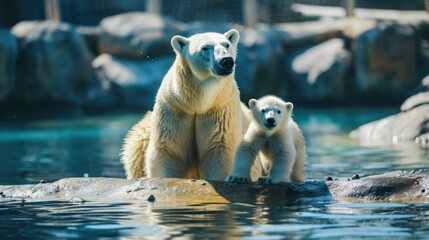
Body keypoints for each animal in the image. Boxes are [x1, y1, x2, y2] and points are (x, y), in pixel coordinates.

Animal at [120, 29, 256, 180]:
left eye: (226, 44)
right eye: (205, 47)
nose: (226, 61)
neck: (199, 103)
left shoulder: (220, 110)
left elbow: (220, 149)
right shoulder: (175, 109)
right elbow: (169, 150)